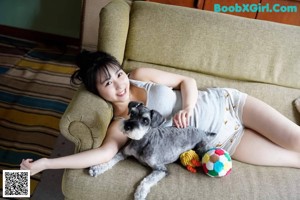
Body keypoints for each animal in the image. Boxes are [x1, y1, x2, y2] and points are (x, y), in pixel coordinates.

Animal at [88, 101, 216, 200]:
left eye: (145, 120)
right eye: (132, 113)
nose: (127, 126)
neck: (142, 141)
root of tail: (202, 131)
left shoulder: (161, 169)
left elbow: (147, 180)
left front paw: (140, 194)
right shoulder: (123, 153)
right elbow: (110, 160)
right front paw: (96, 168)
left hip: (201, 149)